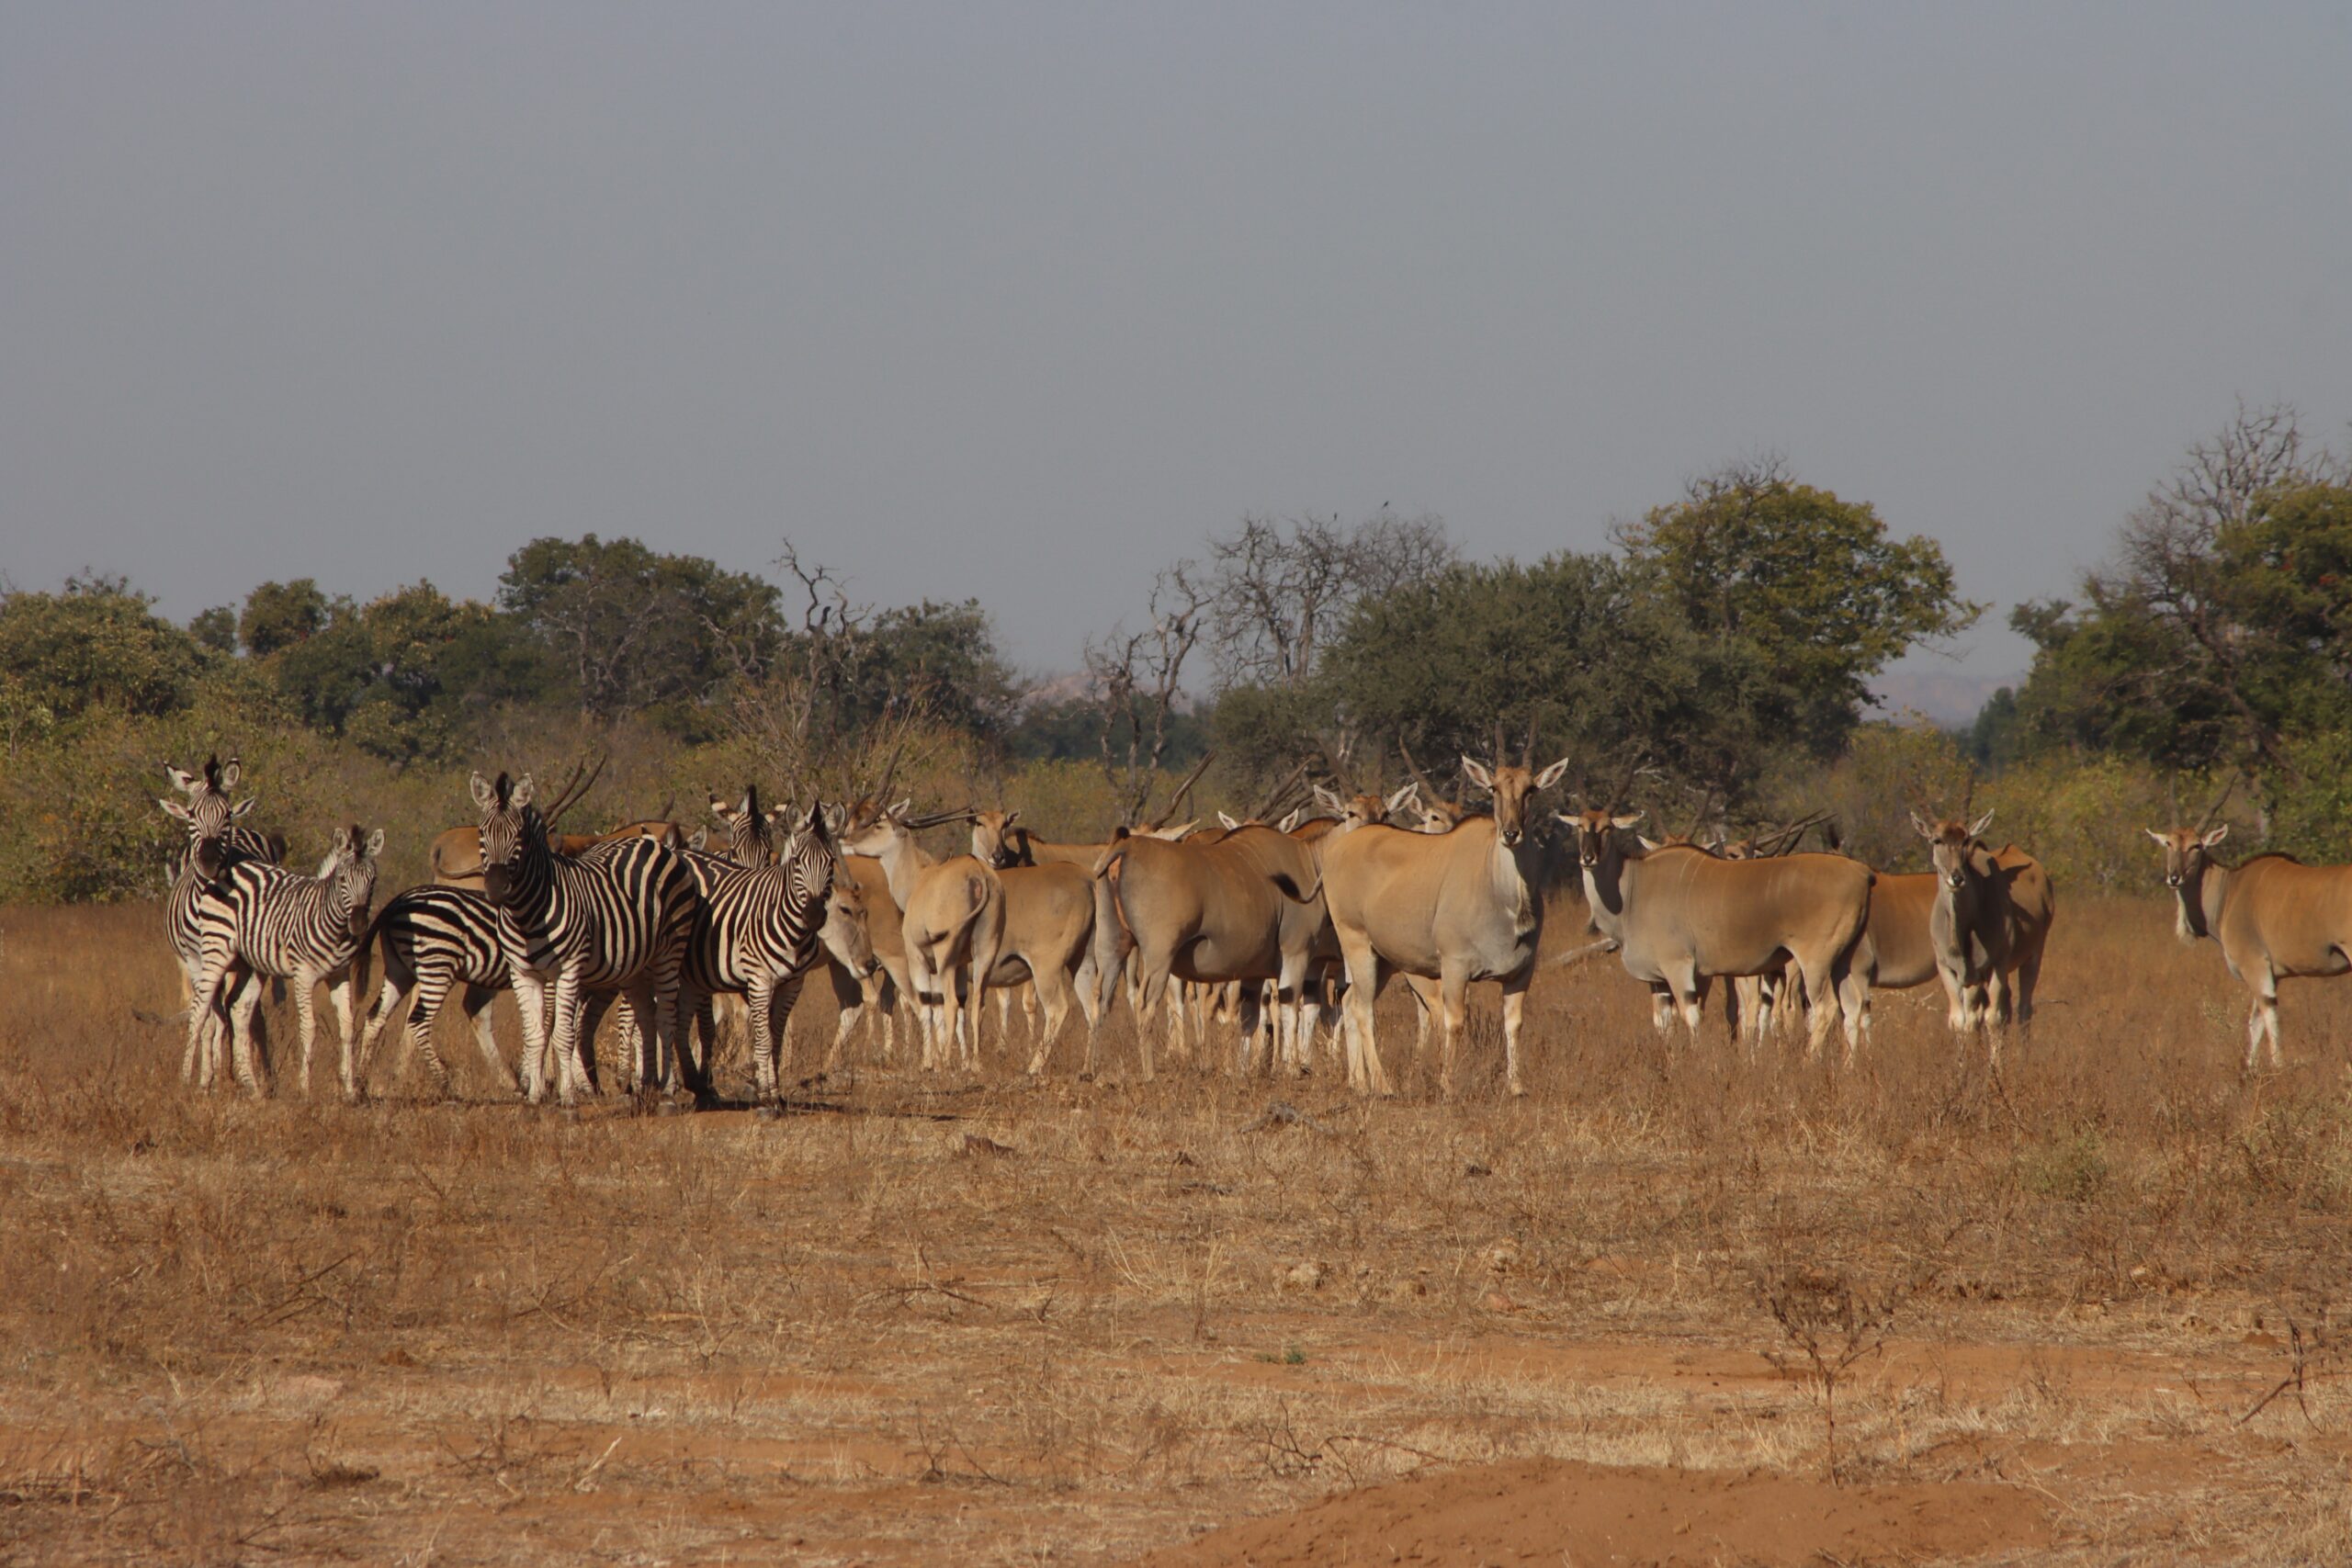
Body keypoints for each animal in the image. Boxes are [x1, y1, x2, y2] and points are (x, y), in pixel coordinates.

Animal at [1319, 752, 1570, 1096]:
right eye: (1493, 788)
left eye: (1530, 789)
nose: (1511, 833)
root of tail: (1338, 849)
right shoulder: (1454, 967)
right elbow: (1455, 1022)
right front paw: (1448, 1085)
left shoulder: (1520, 973)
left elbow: (1513, 1024)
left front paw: (1516, 1085)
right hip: (1357, 944)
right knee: (1361, 1008)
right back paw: (1383, 1085)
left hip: (1383, 959)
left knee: (1349, 1000)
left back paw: (1359, 1083)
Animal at [1565, 805, 1873, 1062]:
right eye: (1579, 826)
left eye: (1607, 828)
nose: (1587, 858)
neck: (1635, 886)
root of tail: (1862, 874)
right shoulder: (1660, 981)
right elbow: (1665, 1024)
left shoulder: (1681, 969)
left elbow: (1692, 1016)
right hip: (1843, 963)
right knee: (1854, 1006)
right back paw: (1849, 1066)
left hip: (1812, 964)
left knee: (1822, 1008)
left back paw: (1809, 1063)